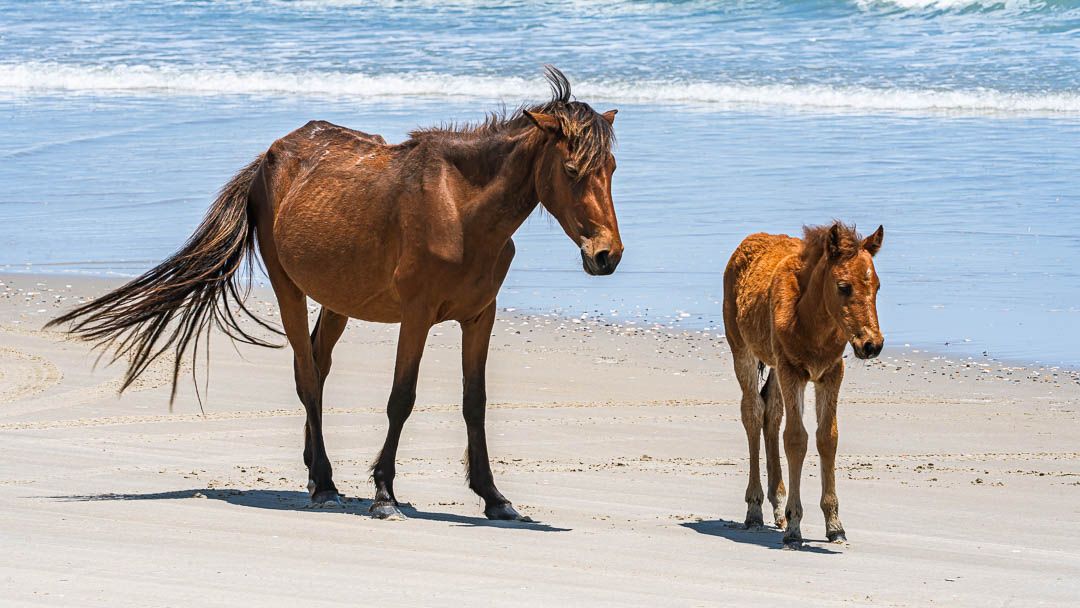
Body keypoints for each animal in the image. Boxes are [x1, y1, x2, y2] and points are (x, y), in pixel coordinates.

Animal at [48, 66, 623, 521]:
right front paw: (385, 494)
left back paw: (314, 473)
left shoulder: (480, 317)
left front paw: (494, 498)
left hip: (338, 302)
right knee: (306, 377)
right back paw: (324, 484)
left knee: (318, 370)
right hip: (290, 290)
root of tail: (270, 157)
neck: (461, 209)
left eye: (612, 169)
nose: (607, 255)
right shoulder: (416, 317)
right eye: (571, 170)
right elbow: (401, 399)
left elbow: (474, 403)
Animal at [722, 221, 883, 548]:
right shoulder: (792, 371)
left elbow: (827, 438)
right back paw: (755, 509)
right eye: (843, 286)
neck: (811, 320)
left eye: (877, 286)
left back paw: (776, 505)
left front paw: (835, 525)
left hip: (773, 364)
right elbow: (796, 439)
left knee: (771, 412)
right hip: (743, 350)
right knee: (752, 413)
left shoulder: (830, 373)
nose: (872, 345)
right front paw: (795, 527)